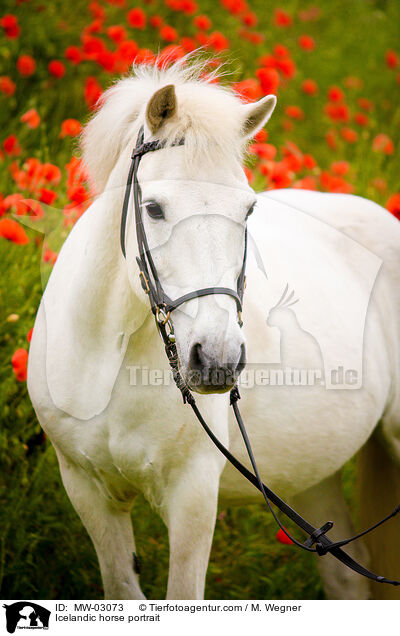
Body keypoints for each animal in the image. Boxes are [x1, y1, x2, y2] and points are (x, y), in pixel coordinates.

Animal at [27, 57, 400, 600]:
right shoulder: (87, 489)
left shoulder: (193, 495)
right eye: (154, 208)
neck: (109, 360)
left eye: (248, 209)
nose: (218, 360)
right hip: (314, 475)